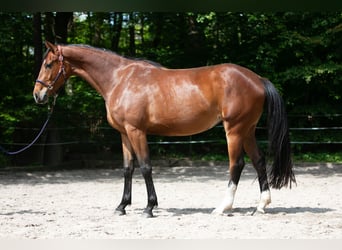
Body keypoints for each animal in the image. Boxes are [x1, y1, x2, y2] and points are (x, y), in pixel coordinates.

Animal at [33, 41, 296, 217]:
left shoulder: (137, 131)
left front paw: (149, 207)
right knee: (259, 161)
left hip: (234, 130)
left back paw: (223, 207)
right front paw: (122, 206)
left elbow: (145, 167)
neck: (120, 79)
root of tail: (257, 79)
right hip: (247, 130)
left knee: (237, 165)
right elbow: (127, 169)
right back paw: (261, 206)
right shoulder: (124, 134)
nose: (38, 95)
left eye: (48, 64)